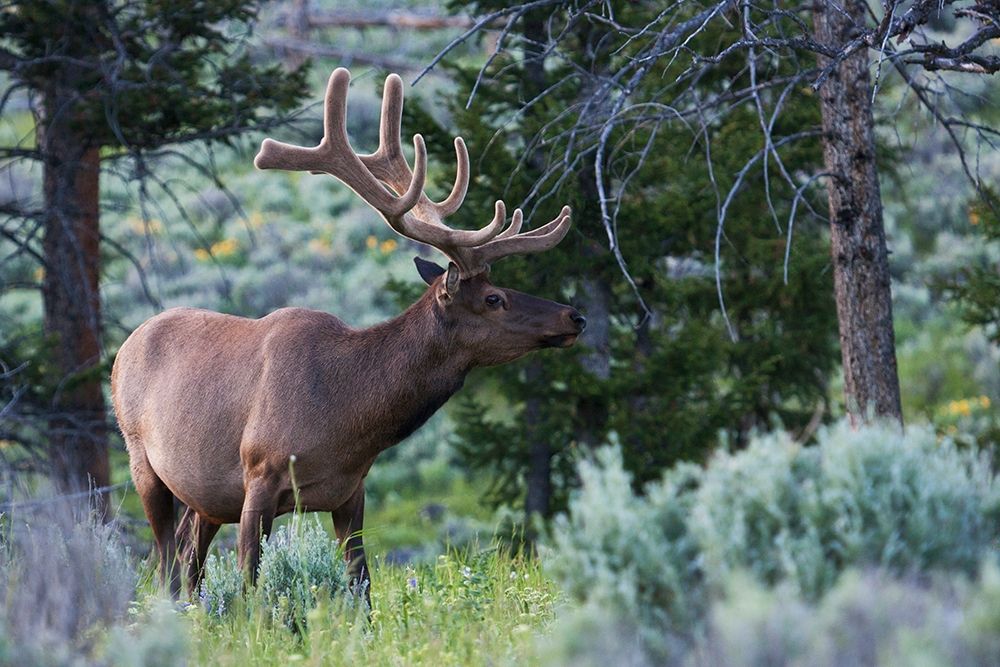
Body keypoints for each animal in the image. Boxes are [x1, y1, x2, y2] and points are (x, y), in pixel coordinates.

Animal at [110, 68, 585, 603]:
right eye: (493, 298)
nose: (574, 316)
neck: (348, 419)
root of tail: (123, 348)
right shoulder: (259, 474)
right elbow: (254, 586)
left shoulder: (351, 491)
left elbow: (362, 586)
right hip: (143, 460)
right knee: (168, 565)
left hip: (205, 497)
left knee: (188, 563)